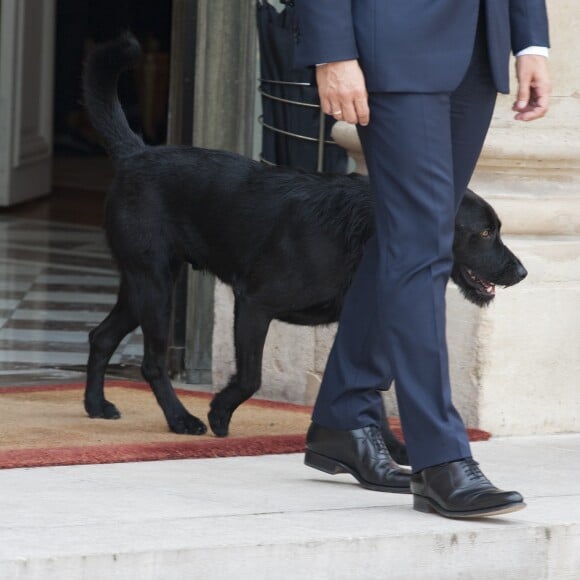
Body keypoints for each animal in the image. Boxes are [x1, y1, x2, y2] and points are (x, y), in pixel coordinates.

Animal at [84, 34, 528, 464]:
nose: (522, 272)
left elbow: (369, 393)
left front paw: (387, 446)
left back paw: (96, 404)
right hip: (155, 286)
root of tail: (136, 153)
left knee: (101, 336)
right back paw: (181, 419)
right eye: (484, 232)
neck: (361, 234)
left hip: (142, 285)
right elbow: (252, 377)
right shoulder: (254, 303)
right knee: (153, 362)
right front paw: (219, 412)